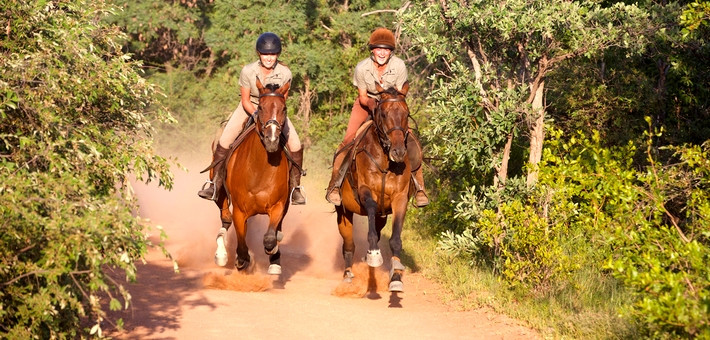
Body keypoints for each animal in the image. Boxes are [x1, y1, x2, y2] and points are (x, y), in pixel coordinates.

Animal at [211, 78, 292, 274]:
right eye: (260, 107)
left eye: (284, 108)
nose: (272, 140)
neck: (259, 170)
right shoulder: (240, 211)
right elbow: (241, 241)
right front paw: (242, 259)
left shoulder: (278, 206)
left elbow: (270, 237)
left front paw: (274, 256)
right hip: (221, 194)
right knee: (225, 220)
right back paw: (221, 254)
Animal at [336, 81, 414, 290]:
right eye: (384, 114)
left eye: (406, 113)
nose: (398, 151)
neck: (386, 162)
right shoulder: (366, 192)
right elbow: (370, 210)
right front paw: (373, 255)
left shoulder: (399, 198)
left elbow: (395, 239)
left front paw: (396, 277)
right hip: (343, 212)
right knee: (348, 244)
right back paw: (348, 274)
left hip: (382, 215)